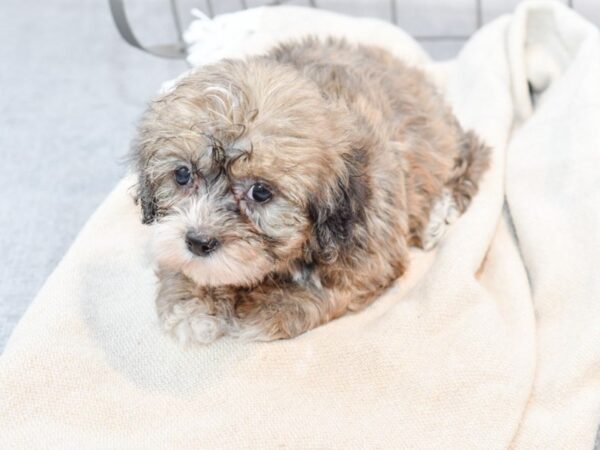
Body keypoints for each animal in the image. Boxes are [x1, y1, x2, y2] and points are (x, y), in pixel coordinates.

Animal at [131, 37, 488, 344]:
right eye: (182, 174)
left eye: (261, 193)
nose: (198, 242)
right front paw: (189, 303)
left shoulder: (371, 255)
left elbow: (329, 289)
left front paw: (265, 309)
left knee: (473, 154)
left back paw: (438, 215)